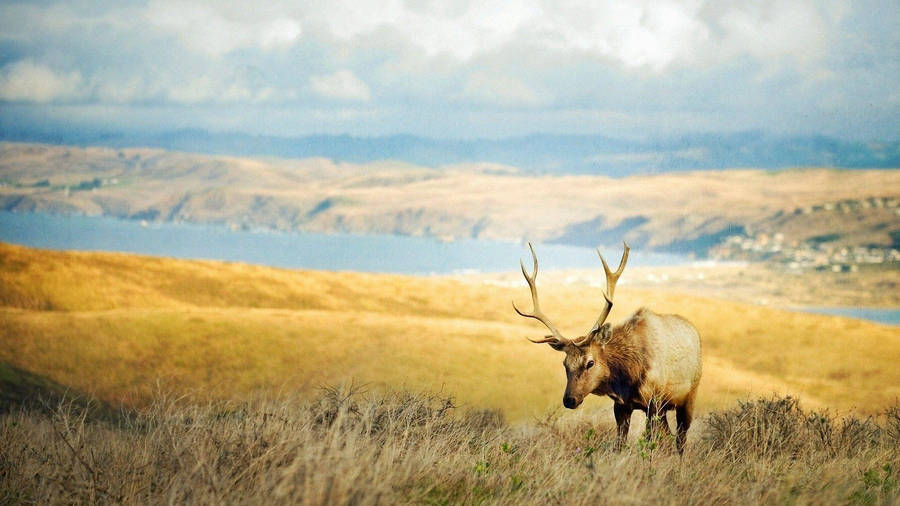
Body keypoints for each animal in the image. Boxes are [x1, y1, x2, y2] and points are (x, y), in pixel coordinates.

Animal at [513, 242, 702, 454]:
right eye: (565, 363)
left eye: (590, 362)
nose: (569, 400)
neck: (628, 376)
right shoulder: (621, 406)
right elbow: (619, 444)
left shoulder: (654, 402)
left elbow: (649, 444)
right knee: (670, 435)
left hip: (689, 396)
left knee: (681, 439)